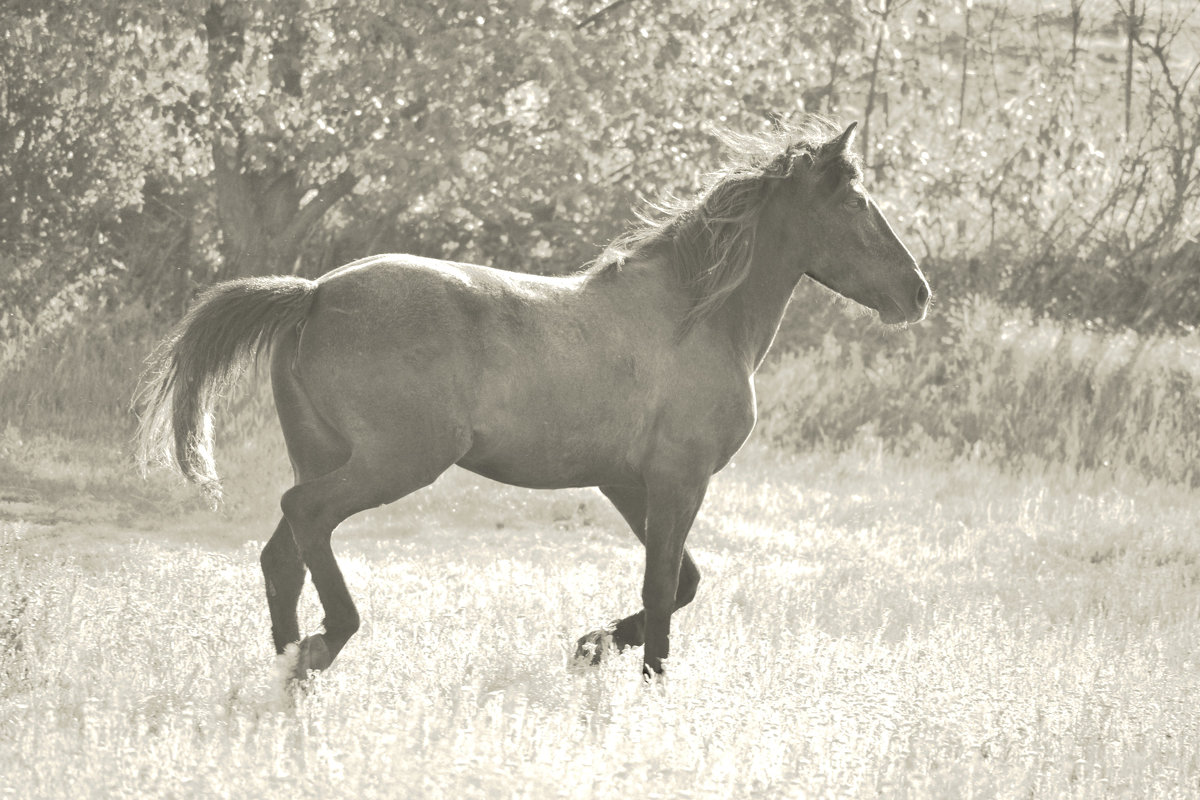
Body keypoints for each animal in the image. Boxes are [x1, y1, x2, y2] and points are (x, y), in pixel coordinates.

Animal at [136, 120, 931, 681]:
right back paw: (323, 646)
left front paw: (591, 645)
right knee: (305, 519)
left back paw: (287, 675)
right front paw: (643, 681)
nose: (917, 293)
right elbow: (664, 590)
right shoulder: (679, 479)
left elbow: (680, 584)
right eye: (856, 203)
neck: (695, 315)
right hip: (395, 463)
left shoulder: (627, 482)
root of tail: (314, 294)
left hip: (324, 455)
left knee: (283, 556)